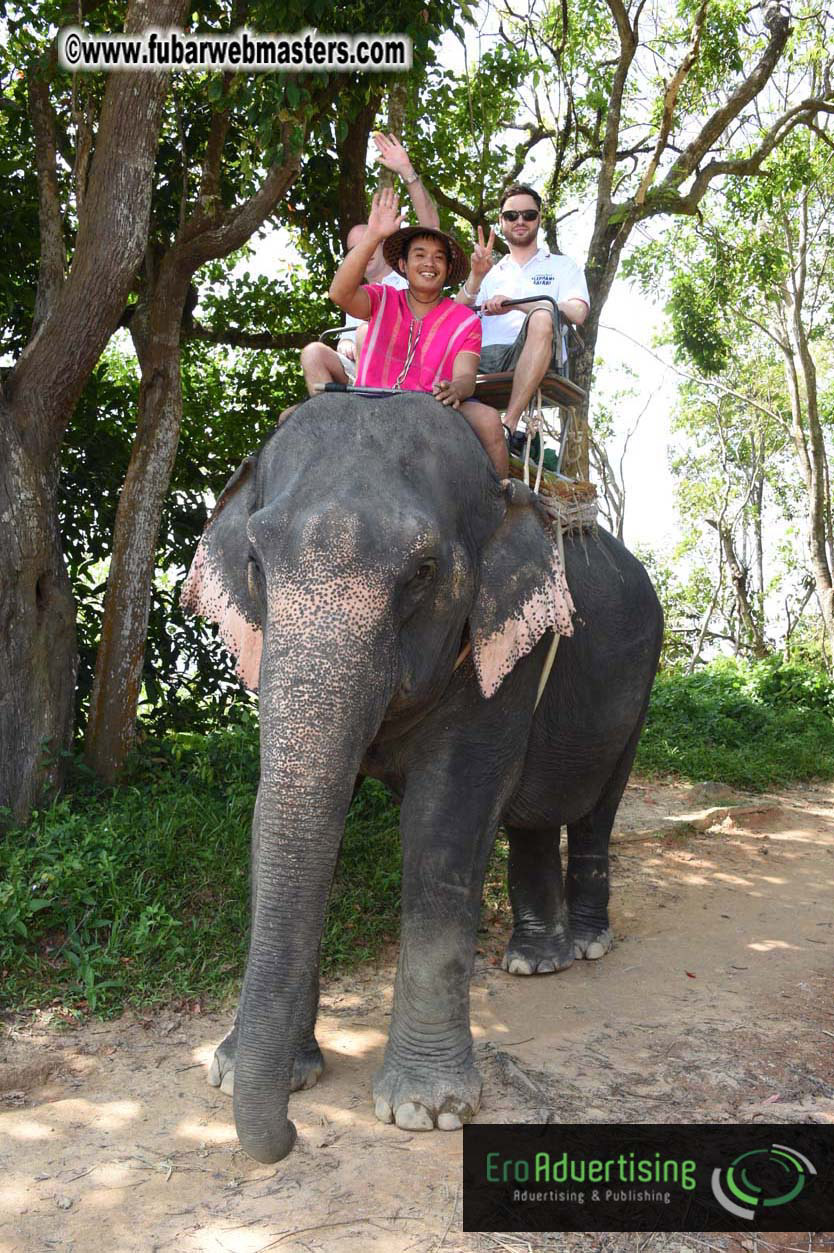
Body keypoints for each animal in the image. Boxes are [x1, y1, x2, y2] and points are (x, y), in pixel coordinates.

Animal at [181, 391, 663, 1165]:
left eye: (423, 571)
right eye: (254, 560)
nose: (288, 1136)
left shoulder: (500, 650)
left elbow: (447, 822)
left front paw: (427, 1109)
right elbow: (274, 815)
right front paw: (244, 1070)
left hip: (644, 680)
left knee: (596, 811)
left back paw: (586, 945)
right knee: (532, 818)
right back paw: (535, 961)